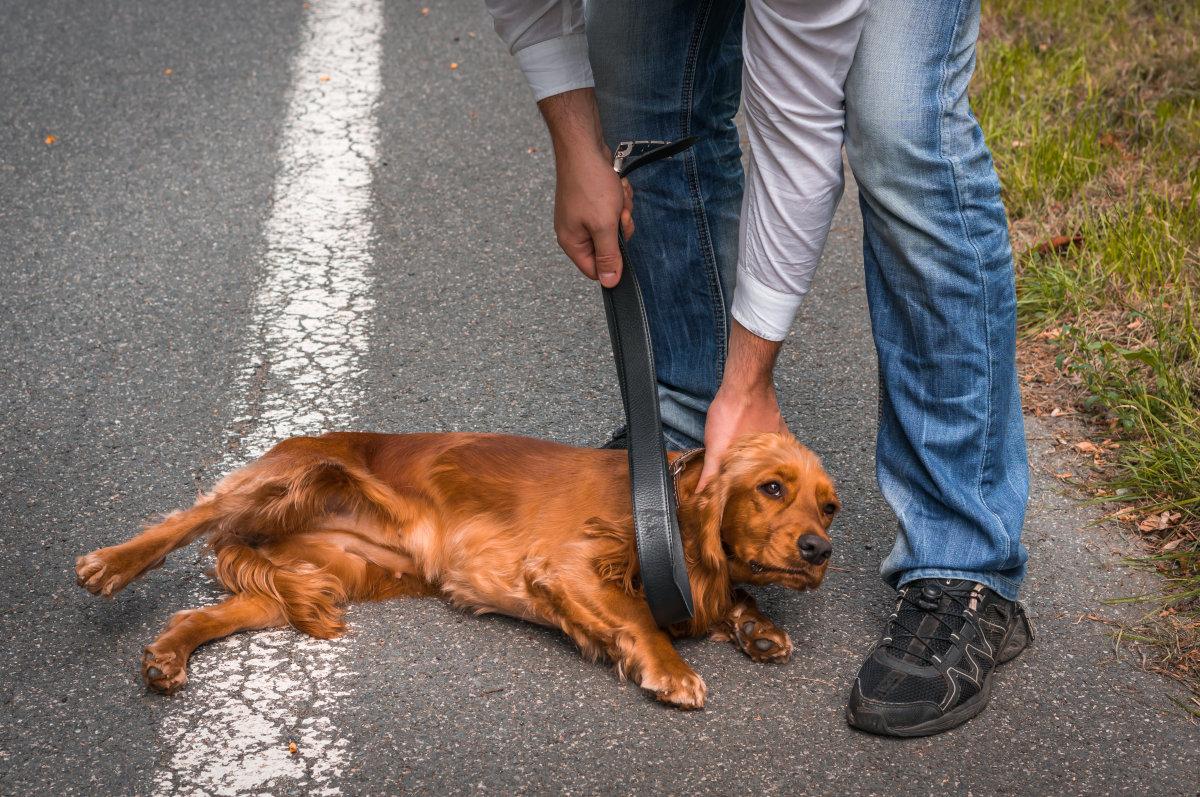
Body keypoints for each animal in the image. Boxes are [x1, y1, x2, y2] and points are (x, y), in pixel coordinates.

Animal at [72, 432, 835, 705]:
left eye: (829, 508)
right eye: (771, 488)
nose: (819, 550)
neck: (666, 508)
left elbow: (720, 599)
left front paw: (756, 626)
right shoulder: (566, 564)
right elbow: (639, 618)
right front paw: (672, 672)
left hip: (325, 574)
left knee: (211, 611)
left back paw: (167, 657)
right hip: (293, 476)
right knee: (192, 516)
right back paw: (108, 563)